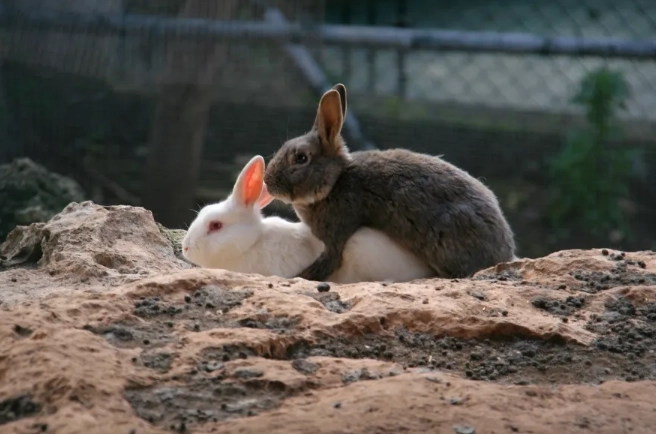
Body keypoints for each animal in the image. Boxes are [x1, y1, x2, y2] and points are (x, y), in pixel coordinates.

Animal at [263, 83, 516, 282]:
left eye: (300, 158)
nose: (267, 181)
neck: (335, 182)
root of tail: (505, 251)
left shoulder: (337, 232)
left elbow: (328, 262)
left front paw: (297, 277)